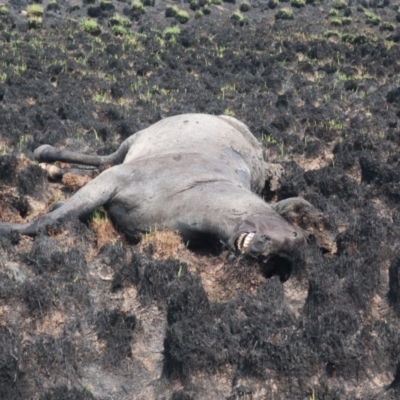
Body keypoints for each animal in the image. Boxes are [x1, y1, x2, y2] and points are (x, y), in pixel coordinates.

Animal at [0, 113, 332, 272]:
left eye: (277, 261)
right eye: (293, 235)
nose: (262, 254)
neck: (194, 191)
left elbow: (62, 215)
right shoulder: (115, 180)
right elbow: (47, 222)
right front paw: (9, 228)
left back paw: (55, 171)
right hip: (132, 143)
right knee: (104, 159)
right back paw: (45, 156)